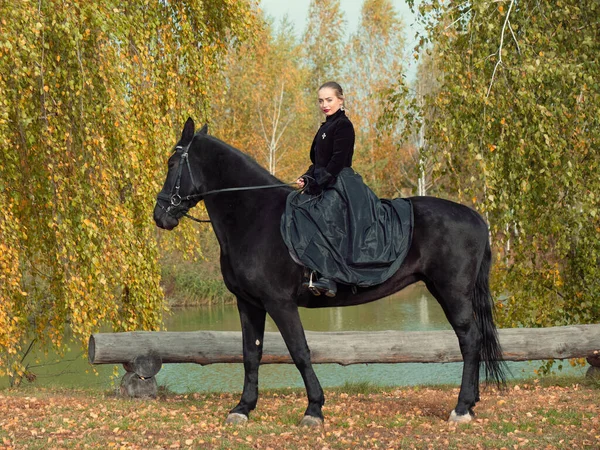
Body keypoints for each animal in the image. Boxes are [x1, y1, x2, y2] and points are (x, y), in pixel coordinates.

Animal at [152, 118, 504, 426]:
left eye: (171, 163)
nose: (160, 215)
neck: (255, 217)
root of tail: (476, 217)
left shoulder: (279, 302)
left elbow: (299, 351)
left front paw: (314, 410)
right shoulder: (248, 302)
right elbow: (251, 353)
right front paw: (243, 408)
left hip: (452, 292)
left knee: (469, 339)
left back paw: (461, 408)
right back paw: (469, 404)